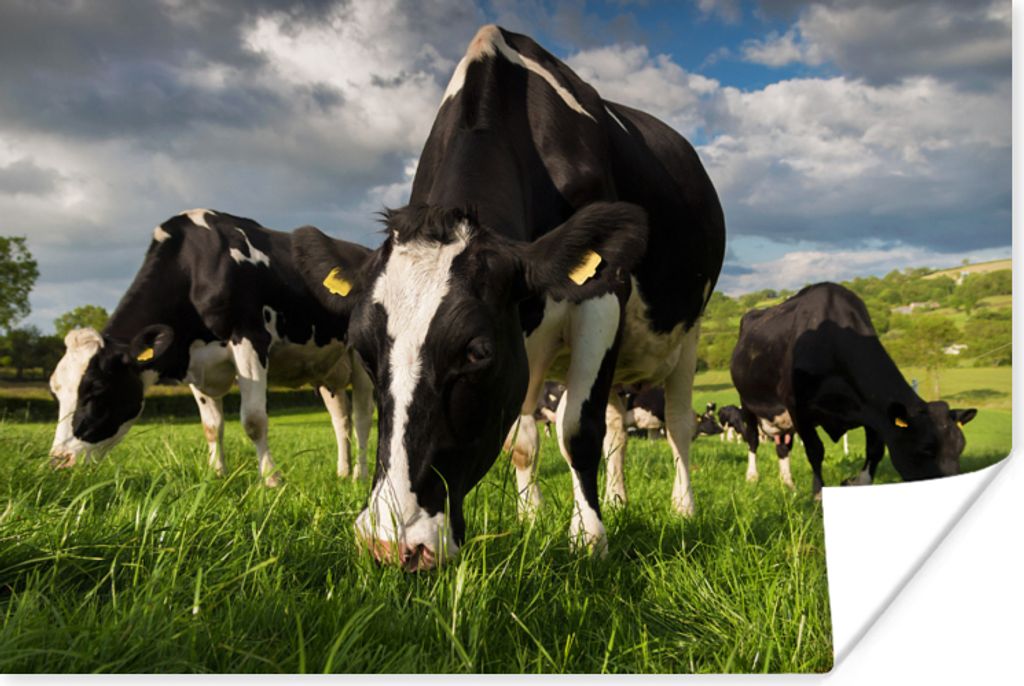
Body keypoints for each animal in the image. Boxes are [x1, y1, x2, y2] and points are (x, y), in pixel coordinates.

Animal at [48, 209, 374, 484]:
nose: (58, 461)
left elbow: (254, 420)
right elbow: (211, 426)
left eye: (98, 390)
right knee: (341, 419)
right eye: (56, 392)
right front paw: (216, 474)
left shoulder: (250, 339)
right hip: (326, 368)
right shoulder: (194, 363)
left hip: (360, 358)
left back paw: (360, 476)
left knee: (362, 418)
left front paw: (271, 479)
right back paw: (343, 472)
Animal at [294, 25, 725, 570]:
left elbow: (577, 429)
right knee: (616, 428)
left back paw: (683, 507)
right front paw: (532, 518)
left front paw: (588, 539)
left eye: (476, 352)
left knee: (677, 423)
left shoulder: (603, 294)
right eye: (363, 351)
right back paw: (617, 499)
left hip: (687, 335)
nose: (392, 544)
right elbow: (524, 441)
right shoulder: (525, 343)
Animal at [730, 282, 977, 498]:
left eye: (961, 447)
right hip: (747, 403)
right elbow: (815, 451)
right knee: (753, 440)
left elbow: (875, 451)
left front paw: (855, 482)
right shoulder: (797, 407)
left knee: (783, 447)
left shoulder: (874, 412)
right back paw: (752, 477)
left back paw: (788, 483)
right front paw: (818, 494)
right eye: (925, 449)